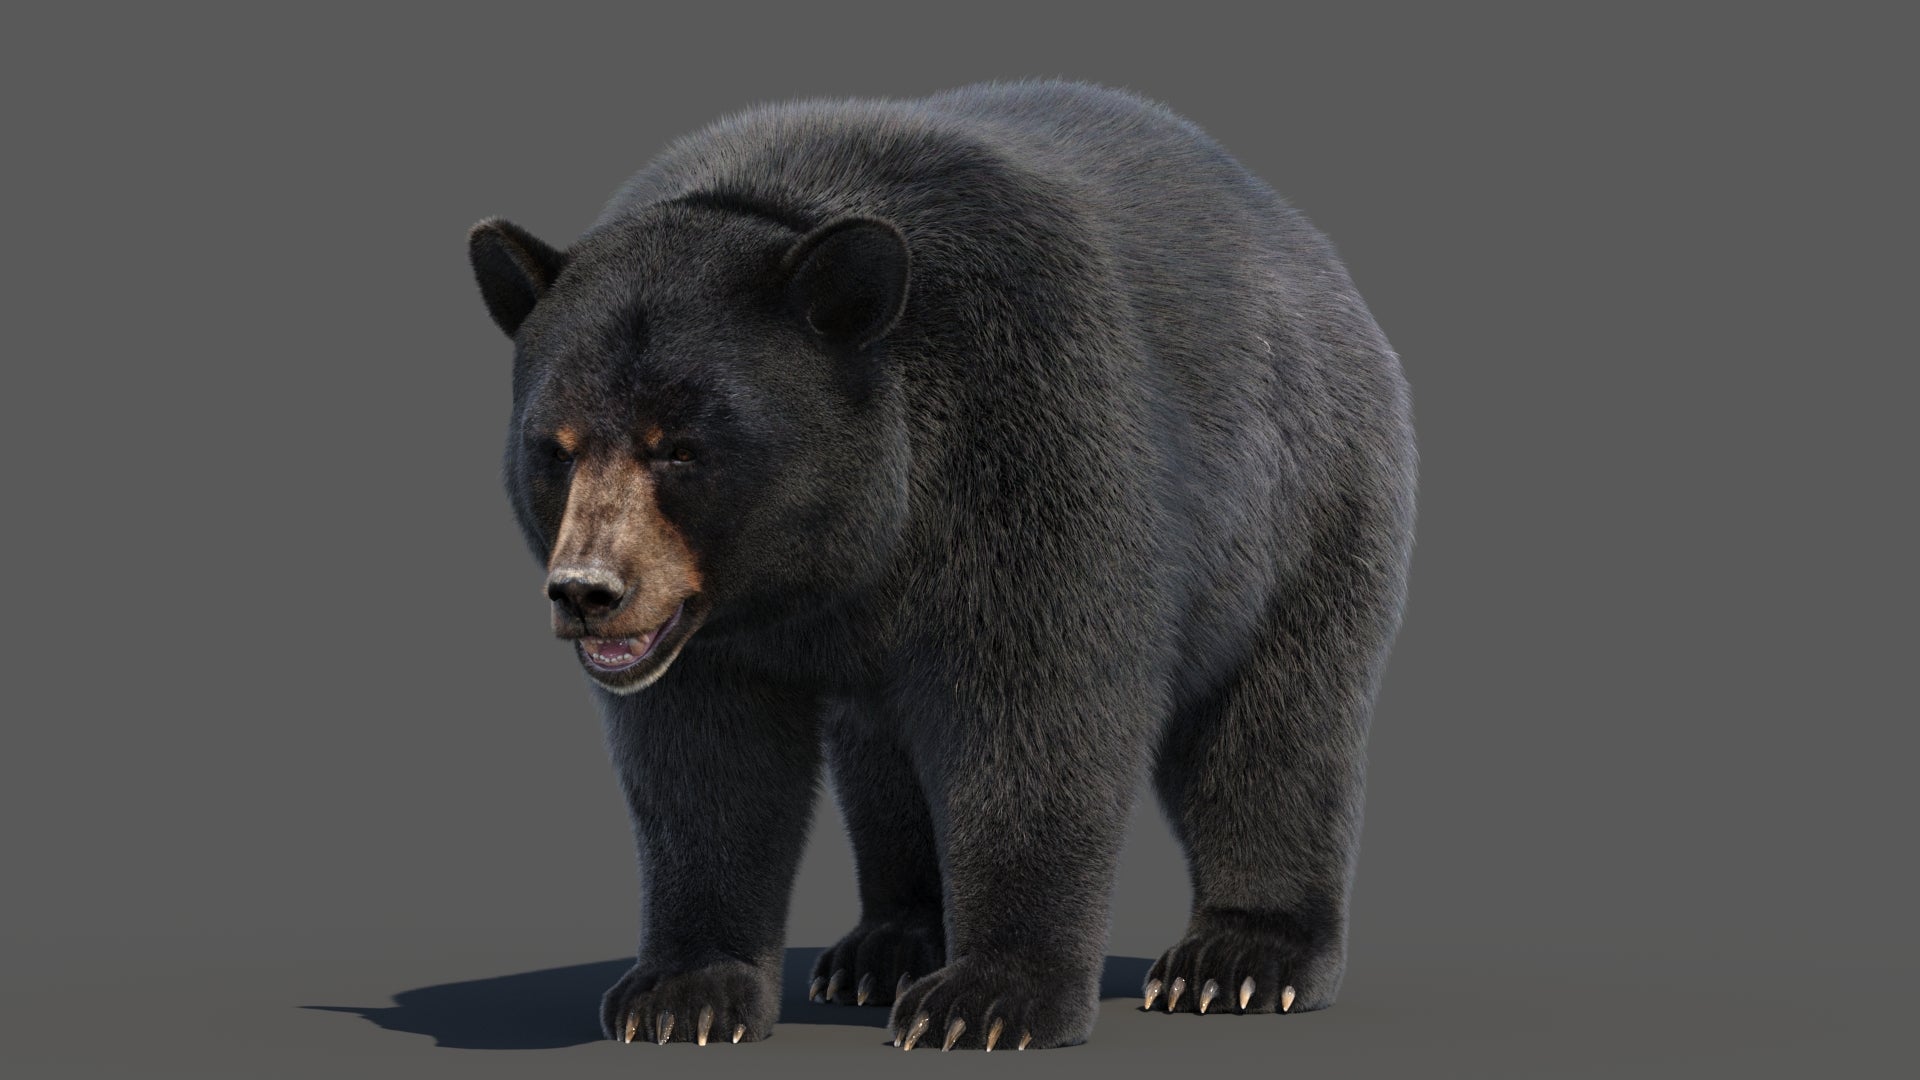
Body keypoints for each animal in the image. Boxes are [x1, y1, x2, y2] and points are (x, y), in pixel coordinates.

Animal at [466, 79, 1415, 1051]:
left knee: (1277, 723)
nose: (588, 592)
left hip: (1304, 499)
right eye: (556, 449)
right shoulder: (709, 629)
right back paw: (884, 946)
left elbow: (1038, 710)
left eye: (681, 448)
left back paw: (1240, 960)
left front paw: (990, 1000)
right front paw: (682, 992)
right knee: (881, 762)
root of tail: (1307, 246)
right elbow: (704, 759)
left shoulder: (1028, 434)